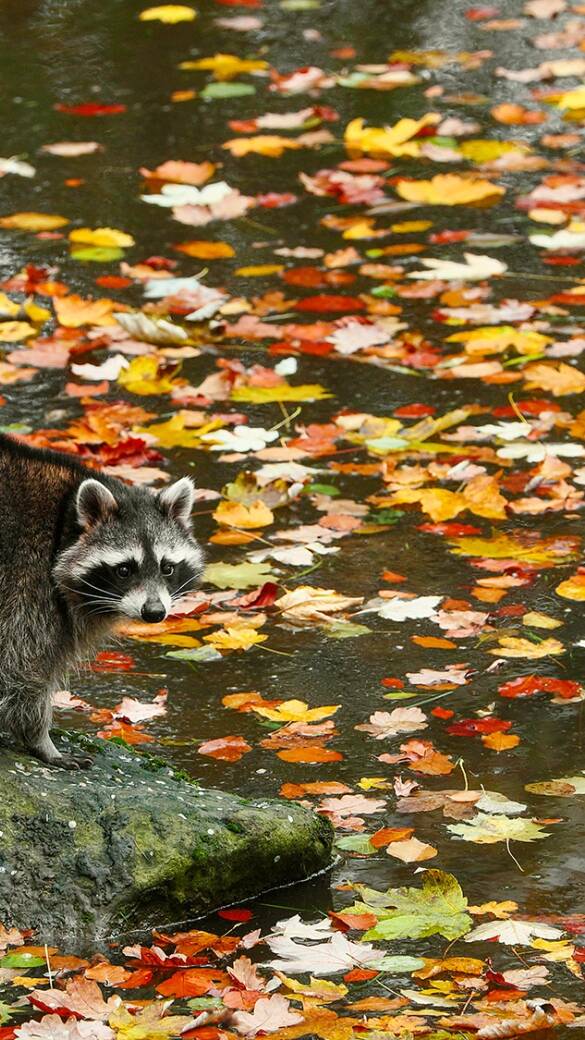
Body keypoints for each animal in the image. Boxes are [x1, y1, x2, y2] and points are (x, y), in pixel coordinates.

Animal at [0, 434, 202, 769]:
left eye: (167, 568)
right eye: (124, 570)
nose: (154, 612)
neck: (64, 526)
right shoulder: (27, 588)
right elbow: (22, 669)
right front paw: (40, 739)